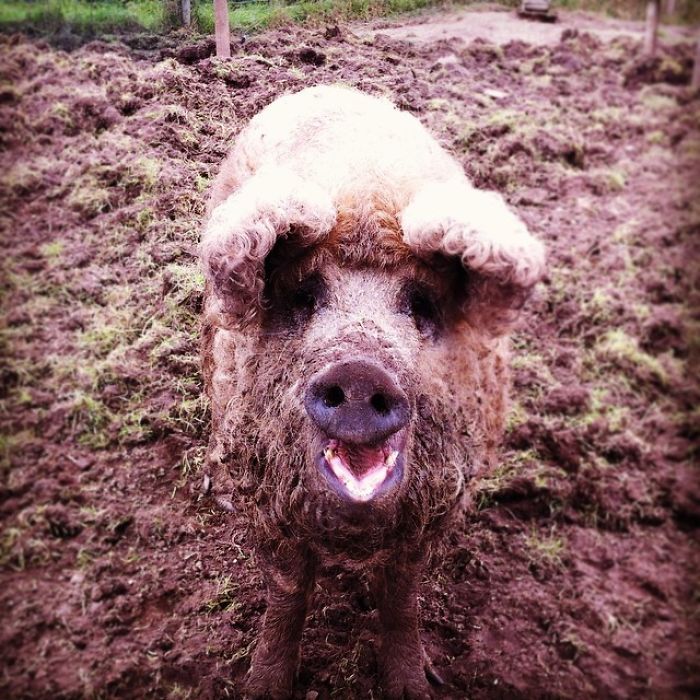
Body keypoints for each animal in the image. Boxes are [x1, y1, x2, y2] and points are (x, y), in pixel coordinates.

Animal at [200, 85, 545, 699]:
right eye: (305, 297)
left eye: (422, 304)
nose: (361, 372)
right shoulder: (266, 497)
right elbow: (287, 594)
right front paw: (263, 687)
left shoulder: (436, 508)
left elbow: (402, 596)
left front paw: (417, 687)